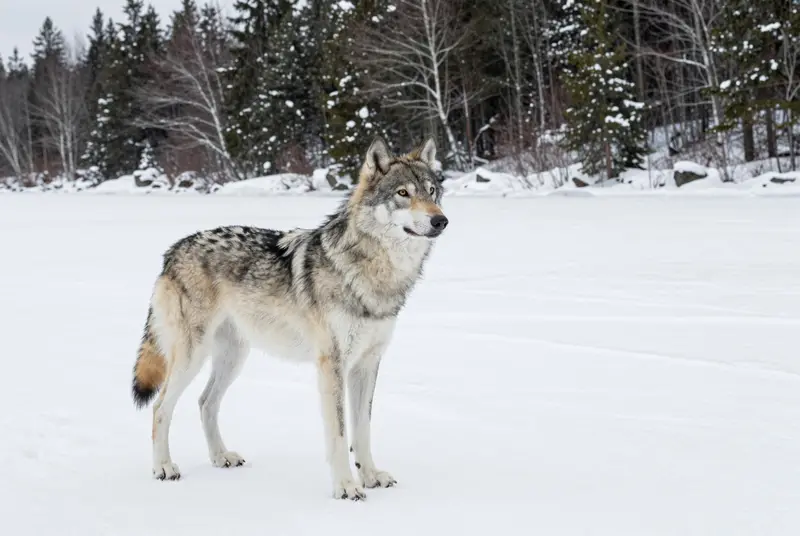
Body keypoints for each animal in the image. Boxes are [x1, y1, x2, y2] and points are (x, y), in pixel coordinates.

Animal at [130, 137, 448, 500]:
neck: (374, 272)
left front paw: (370, 476)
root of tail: (173, 250)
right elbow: (340, 434)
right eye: (403, 193)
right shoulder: (332, 366)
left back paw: (221, 457)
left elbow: (362, 430)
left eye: (432, 191)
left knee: (205, 402)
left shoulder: (367, 364)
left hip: (233, 358)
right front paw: (346, 487)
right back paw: (163, 468)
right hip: (191, 358)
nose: (441, 221)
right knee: (160, 408)